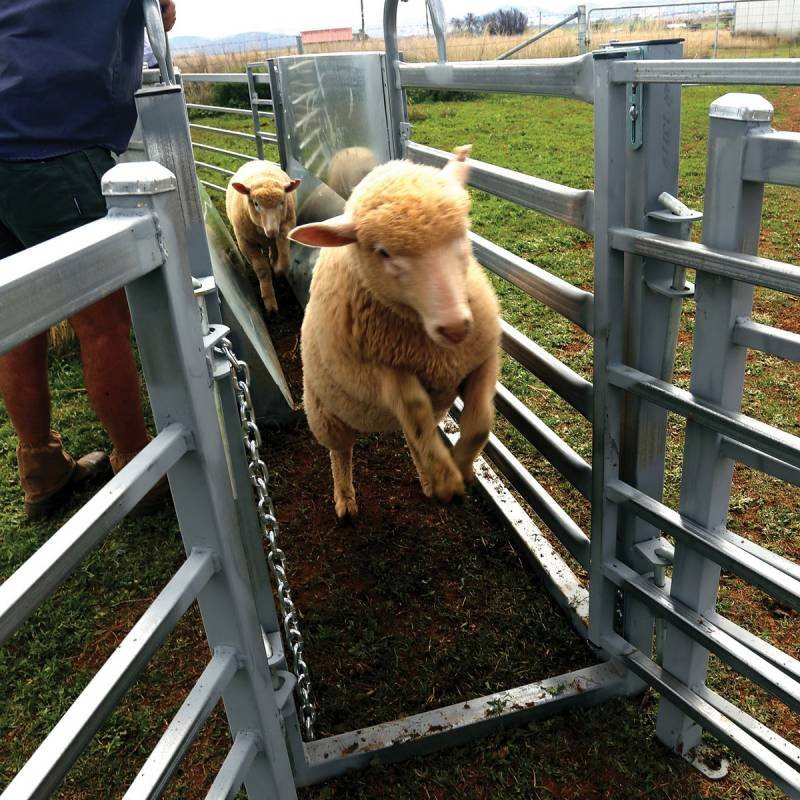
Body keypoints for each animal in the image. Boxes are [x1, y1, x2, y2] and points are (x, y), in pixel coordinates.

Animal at [225, 160, 300, 313]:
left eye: (282, 202)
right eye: (256, 203)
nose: (272, 231)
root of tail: (256, 161)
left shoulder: (285, 228)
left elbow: (284, 259)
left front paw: (277, 269)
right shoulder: (245, 242)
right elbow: (262, 269)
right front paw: (270, 303)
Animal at [289, 145, 500, 521]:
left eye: (462, 233)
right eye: (383, 252)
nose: (455, 327)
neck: (433, 351)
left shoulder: (483, 357)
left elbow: (479, 422)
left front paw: (460, 469)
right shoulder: (374, 377)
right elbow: (414, 406)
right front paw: (448, 480)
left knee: (417, 438)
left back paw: (428, 478)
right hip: (325, 413)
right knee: (341, 452)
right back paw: (345, 500)